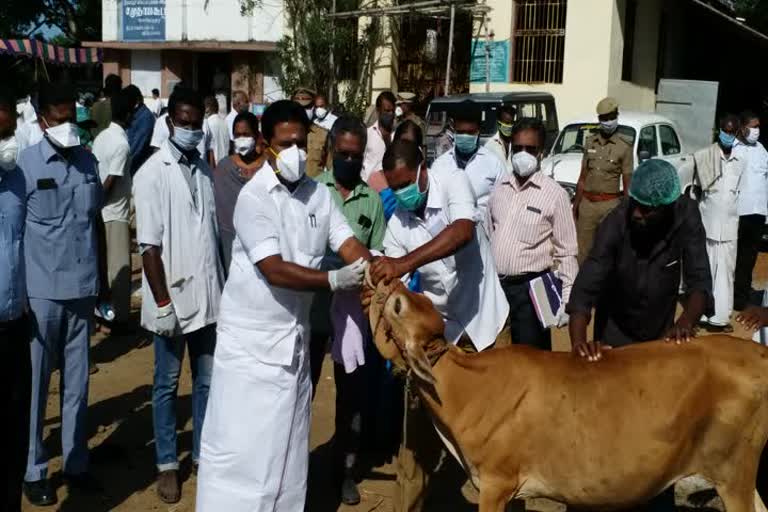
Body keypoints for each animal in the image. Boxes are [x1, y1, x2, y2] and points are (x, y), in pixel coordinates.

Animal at [364, 276, 768, 512]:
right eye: (419, 297)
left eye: (398, 306)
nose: (387, 276)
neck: (466, 388)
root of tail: (756, 352)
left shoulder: (496, 482)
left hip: (734, 474)